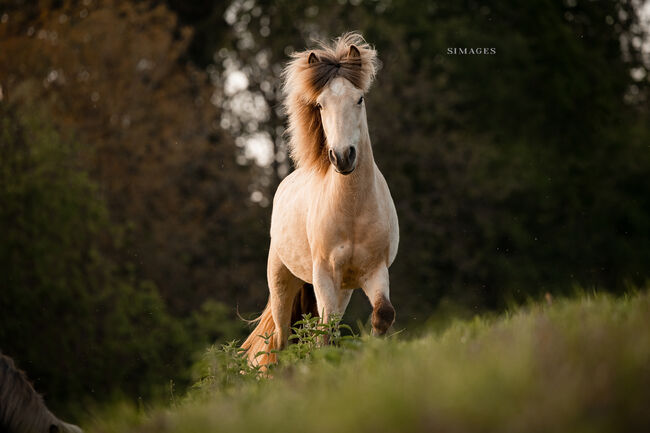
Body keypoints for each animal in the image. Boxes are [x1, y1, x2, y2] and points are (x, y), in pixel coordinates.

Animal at [242, 32, 399, 365]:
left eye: (359, 99)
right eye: (321, 104)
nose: (343, 157)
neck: (352, 210)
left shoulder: (374, 270)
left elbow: (382, 315)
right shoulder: (325, 273)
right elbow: (324, 334)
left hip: (343, 289)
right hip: (283, 282)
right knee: (282, 339)